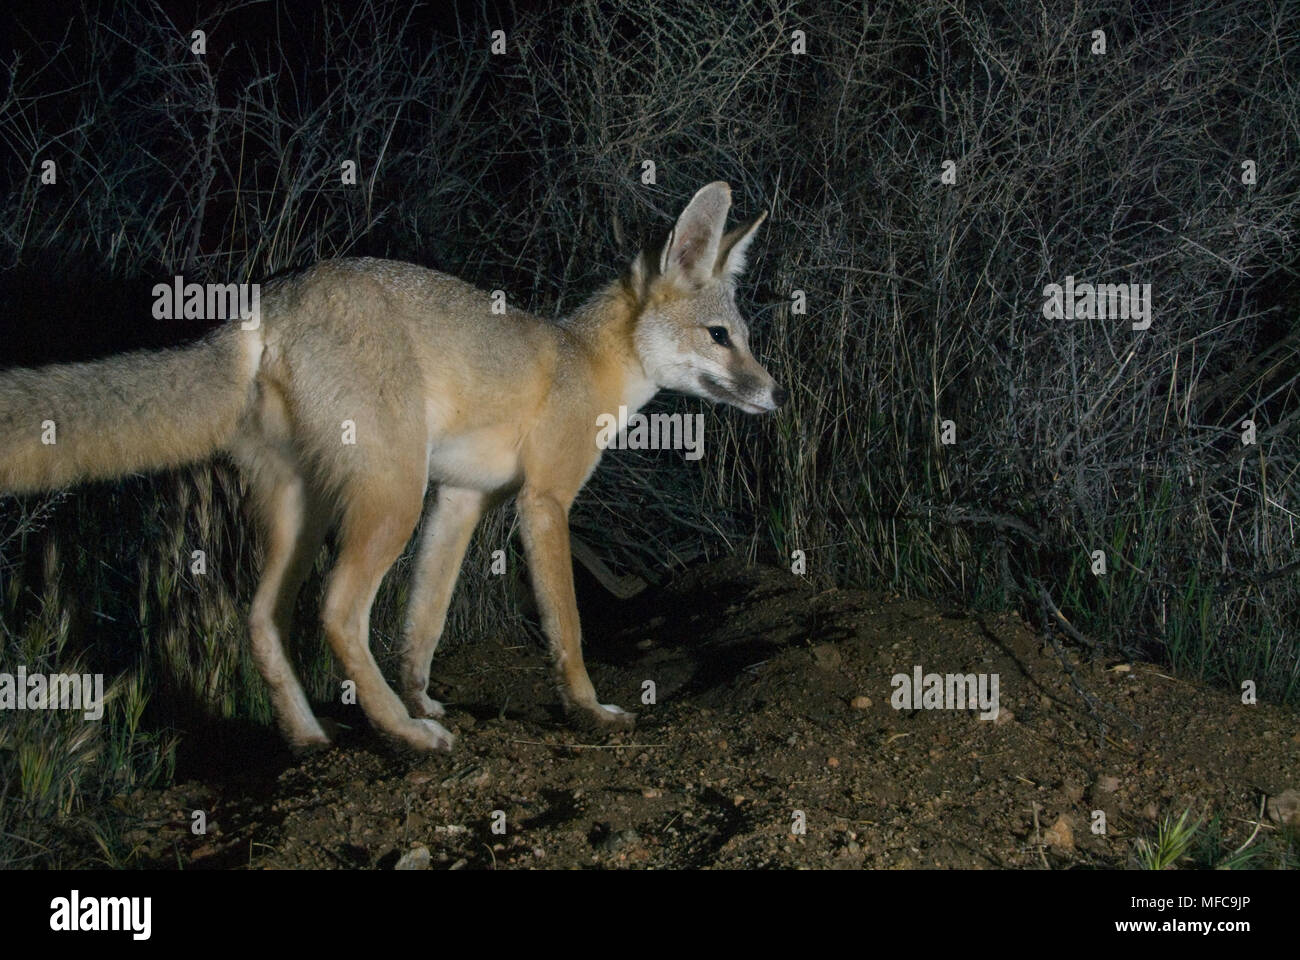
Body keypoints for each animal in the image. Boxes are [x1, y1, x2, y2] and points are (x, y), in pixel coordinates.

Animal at [0, 181, 785, 753]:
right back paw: (404, 735)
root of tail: (271, 297)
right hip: (390, 498)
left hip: (308, 509)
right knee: (337, 613)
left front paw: (421, 692)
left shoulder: (462, 498)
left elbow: (423, 622)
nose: (774, 394)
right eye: (720, 338)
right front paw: (587, 710)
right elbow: (566, 629)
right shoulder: (543, 501)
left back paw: (310, 736)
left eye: (745, 338)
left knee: (262, 621)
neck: (585, 361)